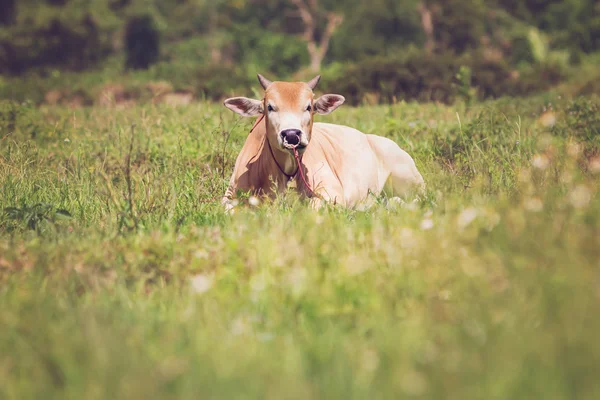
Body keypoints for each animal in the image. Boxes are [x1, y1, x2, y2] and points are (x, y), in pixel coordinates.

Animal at [223, 74, 424, 211]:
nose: (292, 135)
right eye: (270, 107)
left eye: (309, 107)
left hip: (408, 181)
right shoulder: (229, 195)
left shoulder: (332, 193)